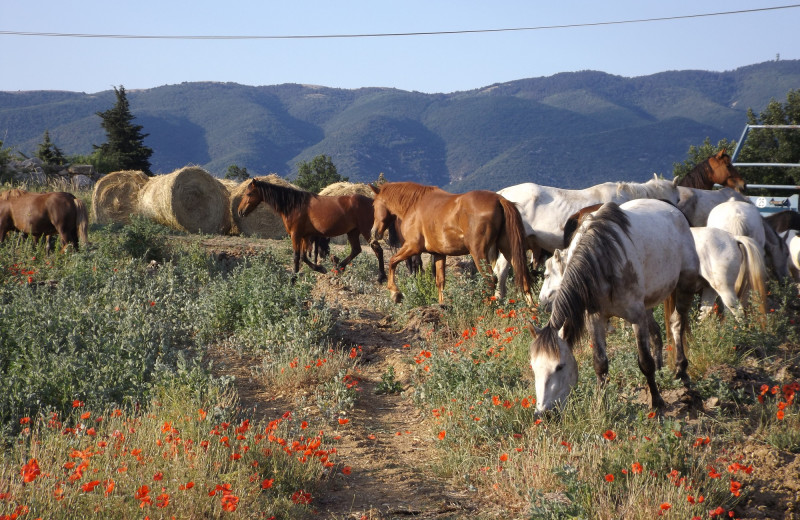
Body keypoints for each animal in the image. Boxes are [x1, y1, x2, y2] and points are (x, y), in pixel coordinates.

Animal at [234, 181, 388, 282]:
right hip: (353, 232)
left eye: (249, 193)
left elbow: (297, 257)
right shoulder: (305, 236)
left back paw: (381, 277)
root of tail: (372, 202)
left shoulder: (296, 235)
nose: (240, 211)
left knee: (377, 250)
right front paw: (320, 268)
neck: (294, 205)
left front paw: (293, 279)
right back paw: (339, 267)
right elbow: (304, 257)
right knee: (356, 250)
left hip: (366, 231)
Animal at [370, 182, 536, 304]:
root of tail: (499, 200)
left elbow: (392, 262)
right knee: (523, 276)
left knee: (490, 280)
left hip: (479, 254)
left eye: (373, 205)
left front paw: (395, 292)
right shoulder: (438, 254)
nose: (374, 232)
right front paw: (442, 304)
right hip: (508, 250)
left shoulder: (412, 247)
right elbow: (440, 281)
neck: (414, 205)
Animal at [528, 197, 696, 412]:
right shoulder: (595, 319)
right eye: (533, 367)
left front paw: (657, 401)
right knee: (657, 331)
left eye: (559, 366)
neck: (602, 261)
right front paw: (601, 404)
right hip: (649, 303)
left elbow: (645, 362)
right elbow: (600, 363)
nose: (543, 413)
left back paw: (681, 369)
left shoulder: (636, 317)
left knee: (677, 323)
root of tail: (672, 207)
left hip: (685, 284)